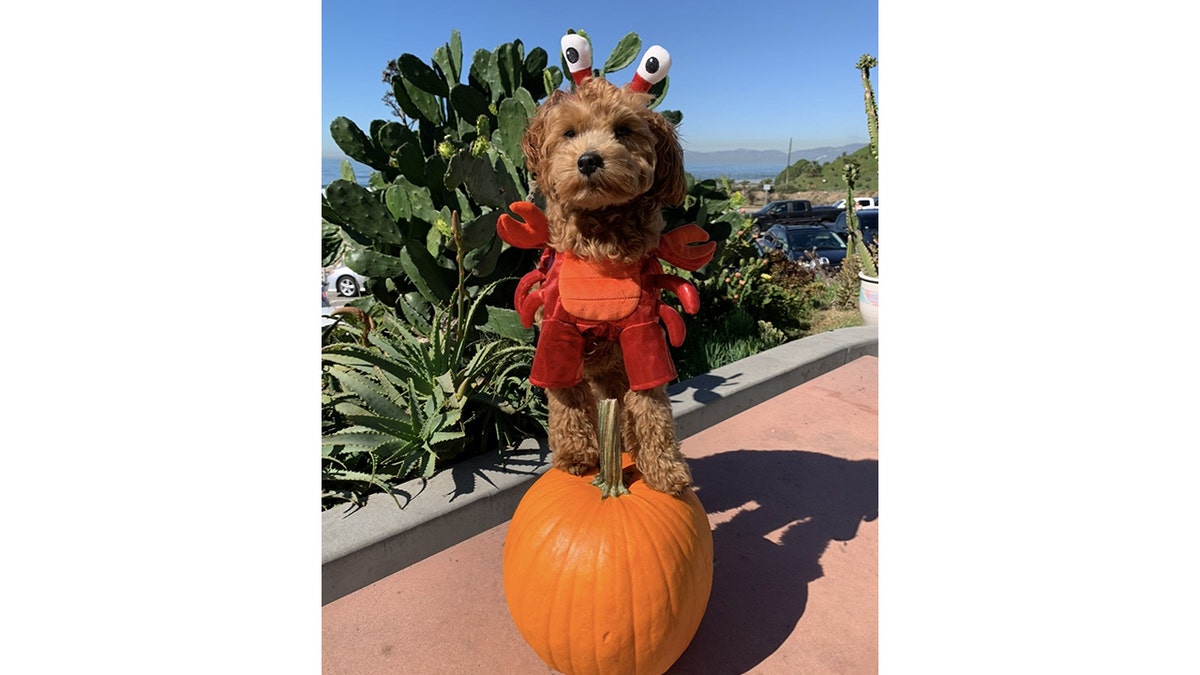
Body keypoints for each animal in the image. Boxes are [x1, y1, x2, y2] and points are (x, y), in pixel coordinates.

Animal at [496, 43, 710, 494]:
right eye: (569, 133)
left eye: (624, 131)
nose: (589, 160)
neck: (600, 243)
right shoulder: (557, 330)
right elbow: (564, 400)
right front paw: (576, 455)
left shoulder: (643, 332)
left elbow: (652, 406)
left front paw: (664, 467)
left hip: (616, 370)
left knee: (625, 408)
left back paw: (630, 450)